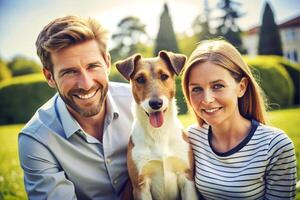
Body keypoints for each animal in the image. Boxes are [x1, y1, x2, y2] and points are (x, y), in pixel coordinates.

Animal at [116, 50, 198, 199]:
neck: (159, 132)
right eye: (140, 79)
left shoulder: (187, 178)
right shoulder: (141, 185)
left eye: (164, 76)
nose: (155, 104)